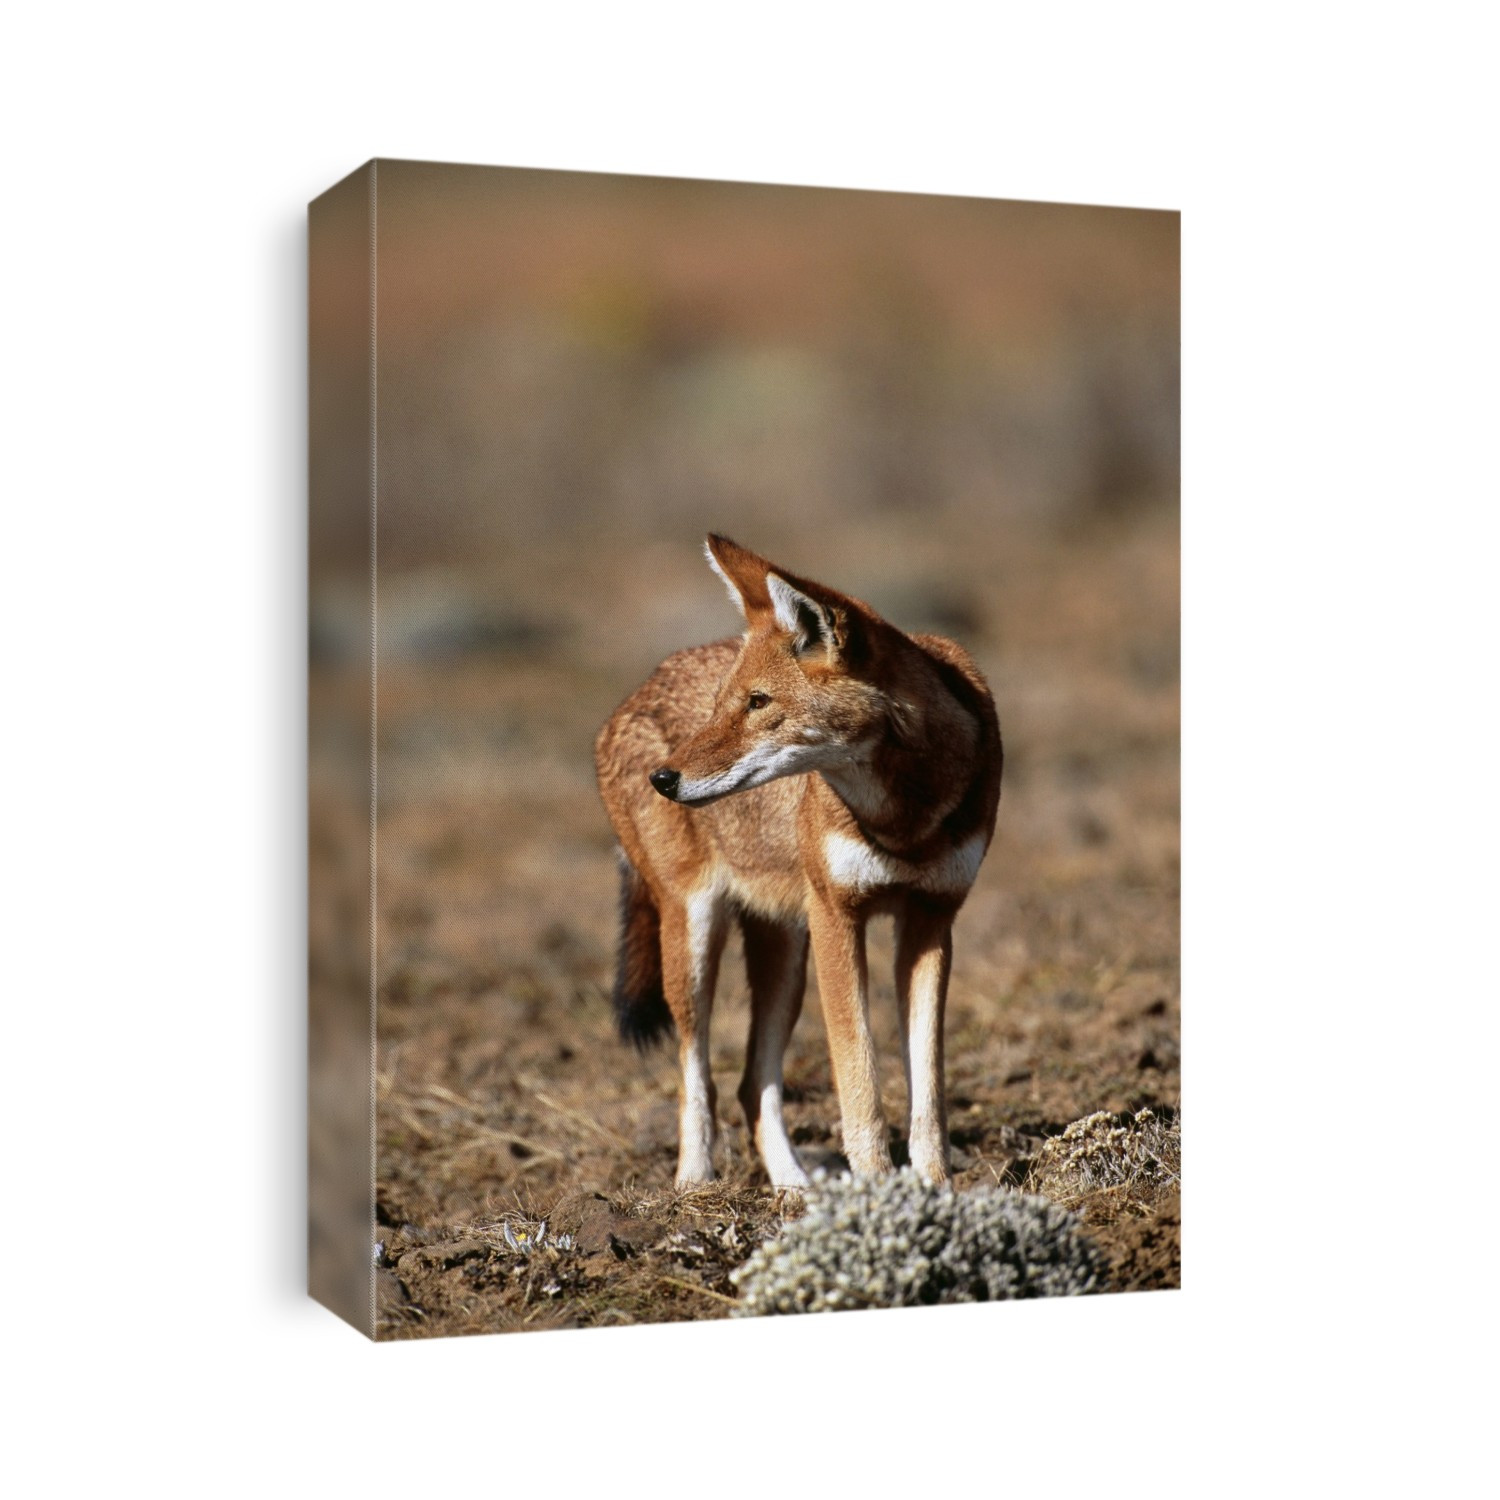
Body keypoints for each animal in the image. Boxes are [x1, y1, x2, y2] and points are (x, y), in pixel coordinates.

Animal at [594, 534, 1001, 1188]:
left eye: (758, 703)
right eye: (723, 705)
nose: (663, 779)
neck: (903, 819)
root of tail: (629, 700)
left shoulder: (931, 922)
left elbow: (928, 1091)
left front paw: (935, 1187)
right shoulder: (838, 917)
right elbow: (859, 1082)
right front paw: (876, 1189)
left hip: (786, 958)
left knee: (750, 1086)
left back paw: (792, 1189)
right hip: (696, 942)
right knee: (697, 1076)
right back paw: (693, 1184)